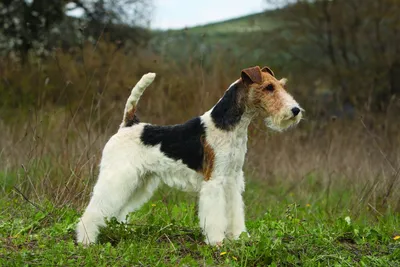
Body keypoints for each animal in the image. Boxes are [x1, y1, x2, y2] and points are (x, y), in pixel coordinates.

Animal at [76, 65, 304, 247]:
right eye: (268, 88)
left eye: (280, 85)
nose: (295, 110)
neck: (230, 127)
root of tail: (129, 123)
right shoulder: (215, 180)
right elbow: (215, 215)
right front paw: (216, 241)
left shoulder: (232, 179)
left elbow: (234, 211)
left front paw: (239, 237)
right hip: (119, 176)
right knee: (96, 208)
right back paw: (86, 240)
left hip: (139, 181)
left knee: (118, 210)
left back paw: (119, 230)